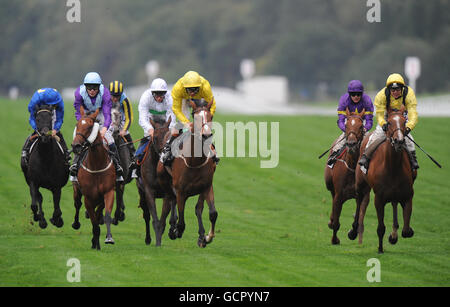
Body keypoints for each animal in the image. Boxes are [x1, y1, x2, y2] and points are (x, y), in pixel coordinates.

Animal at [70, 107, 116, 250]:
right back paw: (76, 224)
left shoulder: (109, 192)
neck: (96, 164)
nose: (76, 146)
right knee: (77, 204)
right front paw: (95, 243)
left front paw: (108, 238)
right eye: (77, 125)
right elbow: (94, 223)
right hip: (76, 190)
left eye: (90, 126)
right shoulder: (88, 197)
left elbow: (106, 215)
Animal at [135, 116, 178, 247]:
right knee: (146, 215)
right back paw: (148, 239)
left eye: (169, 137)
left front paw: (159, 241)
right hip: (141, 192)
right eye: (155, 137)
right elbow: (153, 219)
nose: (165, 155)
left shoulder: (167, 193)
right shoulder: (149, 191)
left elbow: (162, 221)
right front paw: (156, 241)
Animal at [157, 100, 219, 249]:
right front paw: (175, 231)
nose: (206, 135)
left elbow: (212, 213)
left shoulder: (207, 186)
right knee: (168, 204)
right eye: (195, 118)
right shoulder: (181, 191)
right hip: (166, 183)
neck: (195, 161)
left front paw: (206, 237)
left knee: (197, 208)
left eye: (210, 116)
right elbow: (181, 223)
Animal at [326, 108, 368, 245]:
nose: (351, 143)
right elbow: (336, 221)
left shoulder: (362, 194)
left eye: (360, 126)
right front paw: (334, 239)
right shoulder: (339, 194)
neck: (352, 167)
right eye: (347, 125)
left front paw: (352, 232)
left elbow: (358, 217)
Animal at [356, 104, 418, 254]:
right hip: (360, 184)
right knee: (359, 201)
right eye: (389, 122)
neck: (392, 167)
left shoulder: (408, 195)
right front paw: (380, 248)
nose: (399, 141)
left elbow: (406, 230)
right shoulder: (379, 198)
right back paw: (353, 231)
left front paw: (394, 236)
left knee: (395, 204)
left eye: (404, 122)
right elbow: (380, 227)